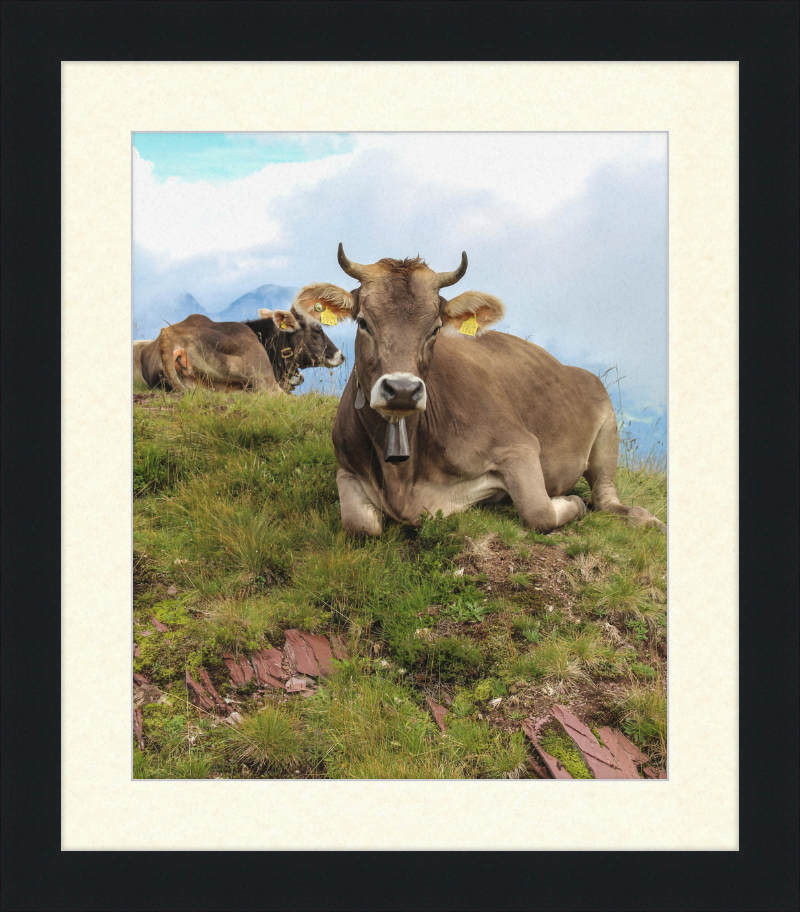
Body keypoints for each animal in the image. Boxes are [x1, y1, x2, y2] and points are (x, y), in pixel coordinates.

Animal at [290, 246, 664, 536]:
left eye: (435, 329)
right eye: (363, 322)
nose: (402, 390)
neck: (402, 479)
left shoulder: (519, 446)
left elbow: (539, 511)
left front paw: (570, 502)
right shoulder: (346, 468)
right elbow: (360, 525)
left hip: (608, 427)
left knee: (605, 498)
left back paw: (644, 518)